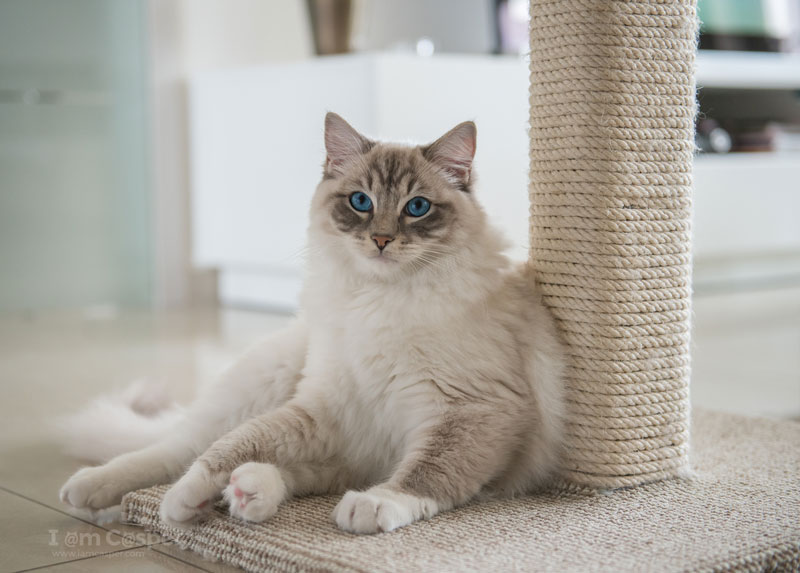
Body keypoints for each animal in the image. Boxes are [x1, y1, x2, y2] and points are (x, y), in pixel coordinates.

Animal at [59, 114, 564, 536]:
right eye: (360, 202)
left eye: (417, 207)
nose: (381, 240)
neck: (377, 300)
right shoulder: (327, 407)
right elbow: (229, 447)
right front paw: (185, 497)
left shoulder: (472, 411)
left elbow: (425, 474)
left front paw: (374, 505)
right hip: (267, 384)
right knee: (178, 446)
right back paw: (93, 489)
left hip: (345, 452)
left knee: (282, 471)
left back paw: (247, 493)